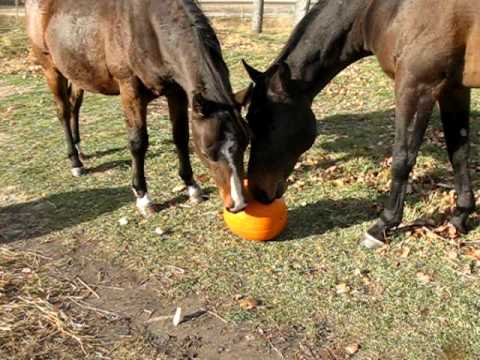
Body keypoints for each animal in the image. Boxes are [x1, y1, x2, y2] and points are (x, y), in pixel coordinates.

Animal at [25, 0, 251, 215]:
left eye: (245, 144)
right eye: (205, 152)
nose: (237, 204)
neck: (150, 27)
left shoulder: (176, 92)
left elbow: (180, 136)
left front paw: (192, 187)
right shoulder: (129, 90)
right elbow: (138, 142)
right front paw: (144, 198)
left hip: (77, 72)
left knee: (74, 106)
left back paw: (81, 151)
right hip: (51, 69)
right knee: (63, 111)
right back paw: (75, 163)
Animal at [244, 0, 480, 248]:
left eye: (269, 124)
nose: (257, 191)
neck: (389, 9)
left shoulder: (417, 87)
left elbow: (403, 159)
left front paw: (383, 225)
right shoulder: (454, 89)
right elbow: (459, 154)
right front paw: (460, 217)